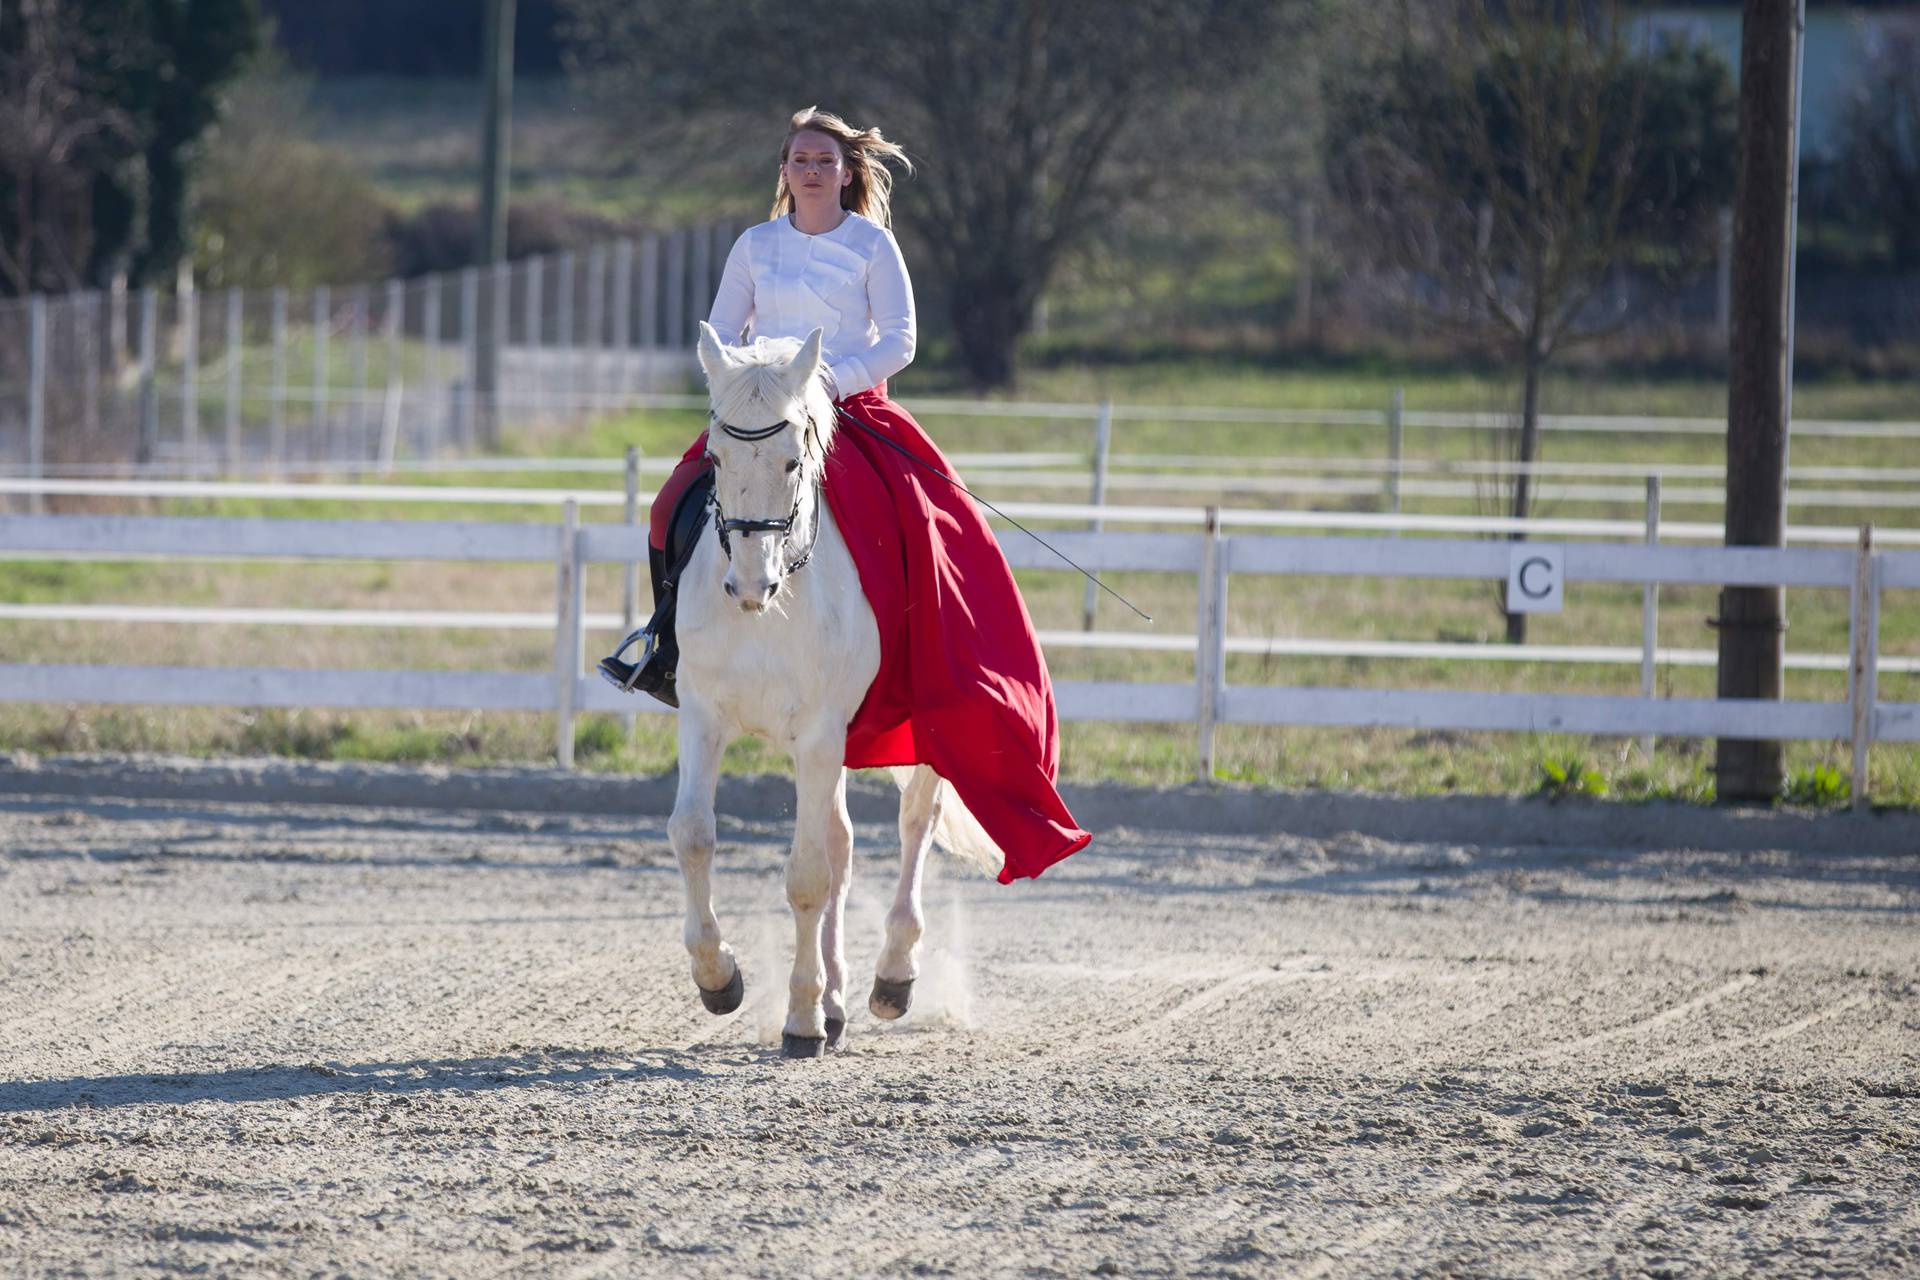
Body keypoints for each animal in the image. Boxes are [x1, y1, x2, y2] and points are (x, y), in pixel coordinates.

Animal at [672, 320, 1006, 1059]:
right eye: (714, 460)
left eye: (791, 462)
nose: (749, 585)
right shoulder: (704, 717)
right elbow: (695, 836)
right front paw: (718, 978)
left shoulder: (820, 735)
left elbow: (806, 876)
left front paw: (799, 1020)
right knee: (842, 843)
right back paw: (836, 1002)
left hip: (910, 740)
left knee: (913, 824)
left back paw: (892, 978)